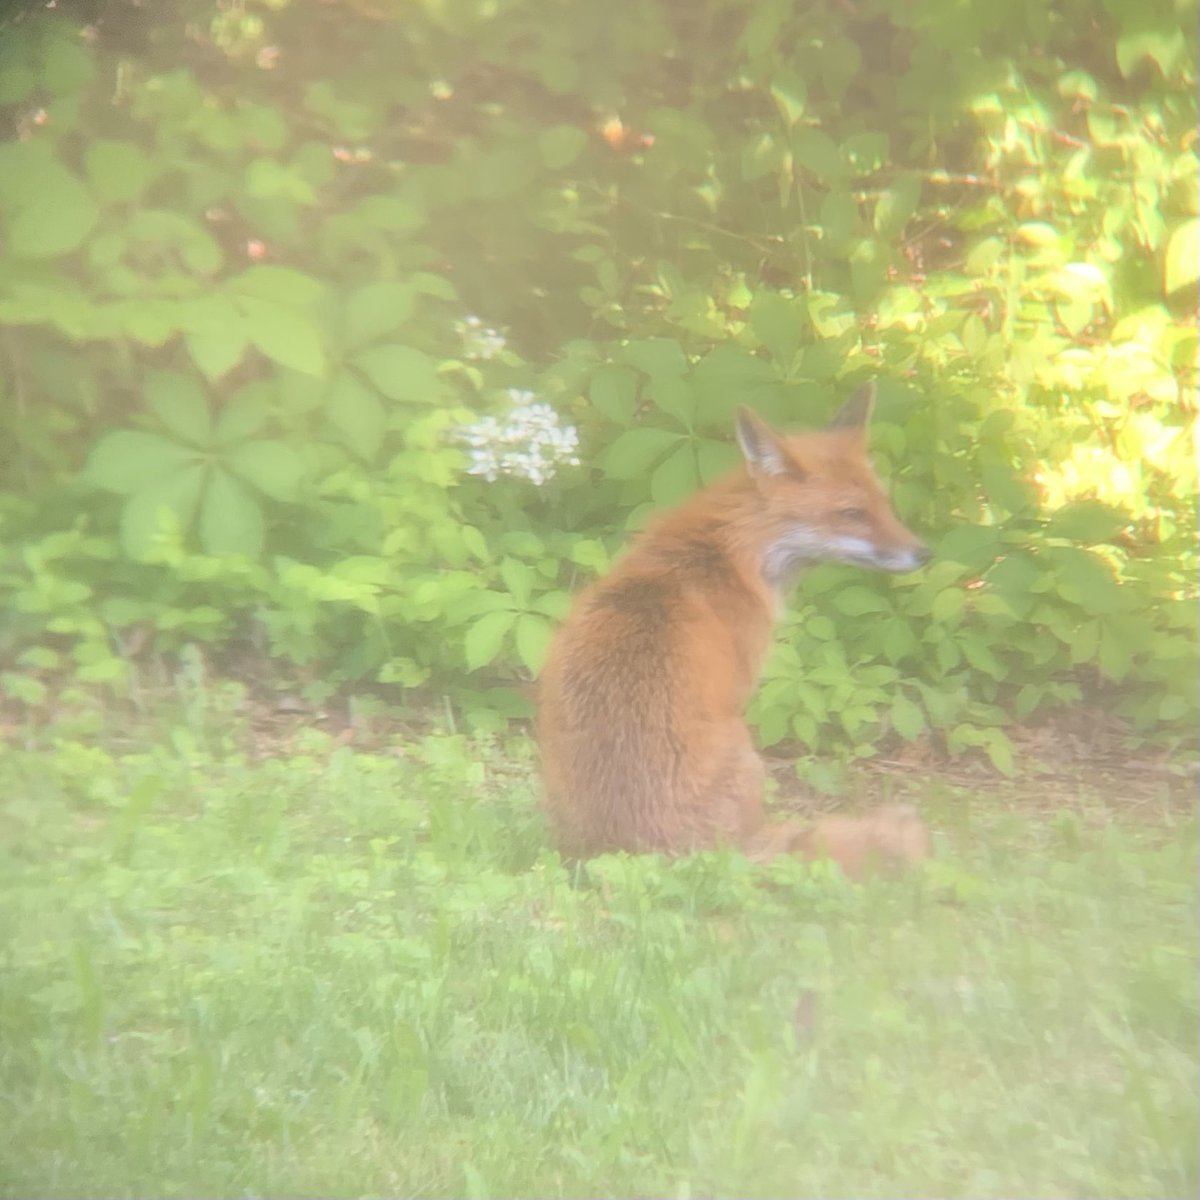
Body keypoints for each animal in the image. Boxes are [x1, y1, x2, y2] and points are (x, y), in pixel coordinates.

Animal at [537, 382, 932, 877]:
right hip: (748, 754)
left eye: (884, 504)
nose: (924, 553)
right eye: (851, 513)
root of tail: (649, 853)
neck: (726, 554)